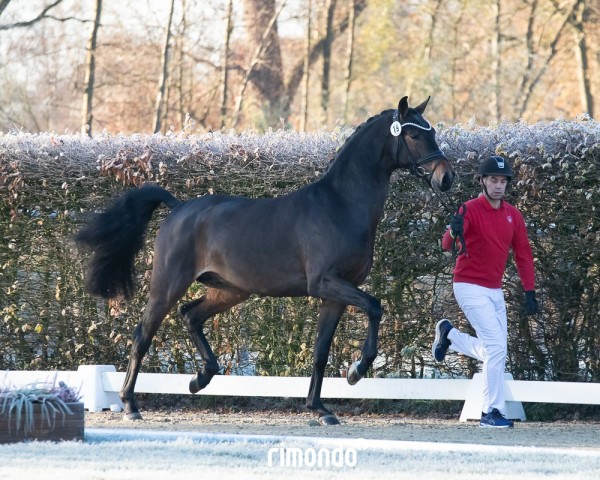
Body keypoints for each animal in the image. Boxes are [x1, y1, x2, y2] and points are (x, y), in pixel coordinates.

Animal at [78, 96, 454, 424]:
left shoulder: (335, 295)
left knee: (191, 316)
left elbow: (320, 351)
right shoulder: (326, 283)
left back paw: (200, 379)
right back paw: (130, 405)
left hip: (229, 290)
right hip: (168, 284)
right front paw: (356, 371)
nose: (445, 177)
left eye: (432, 131)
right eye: (414, 134)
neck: (340, 205)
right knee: (143, 334)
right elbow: (375, 307)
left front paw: (320, 409)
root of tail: (179, 207)